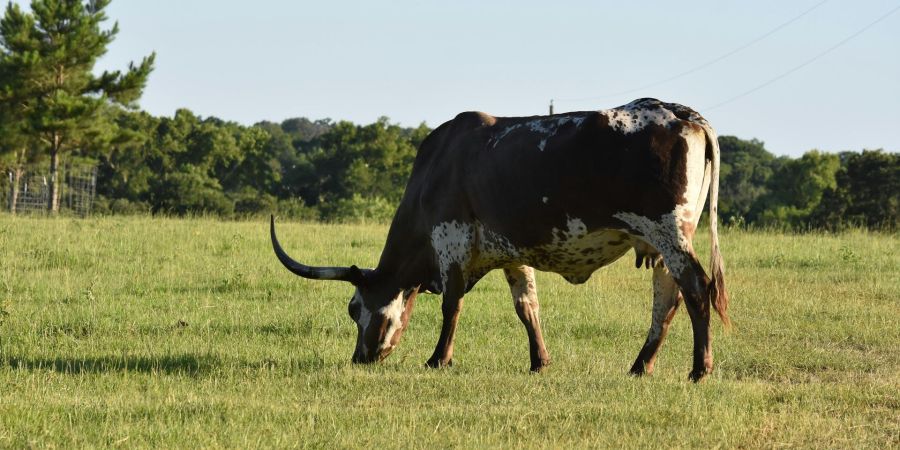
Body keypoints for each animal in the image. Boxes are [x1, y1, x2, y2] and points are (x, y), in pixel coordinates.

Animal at [268, 97, 732, 380]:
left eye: (353, 309)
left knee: (696, 288)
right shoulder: (513, 253)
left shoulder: (451, 240)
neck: (435, 168)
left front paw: (438, 359)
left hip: (668, 232)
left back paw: (699, 369)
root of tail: (681, 112)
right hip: (664, 242)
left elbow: (452, 304)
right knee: (667, 299)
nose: (360, 358)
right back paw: (641, 365)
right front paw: (539, 362)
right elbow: (527, 306)